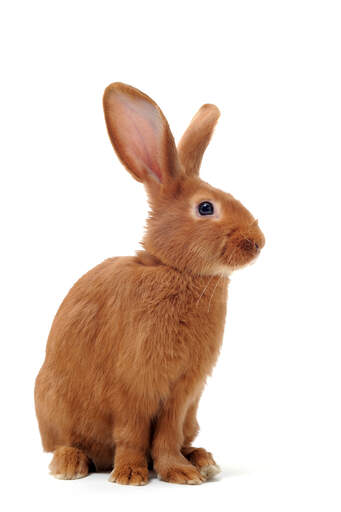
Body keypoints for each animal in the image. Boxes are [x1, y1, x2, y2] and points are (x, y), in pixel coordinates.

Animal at [34, 82, 264, 486]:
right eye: (206, 207)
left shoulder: (183, 392)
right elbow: (132, 432)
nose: (258, 242)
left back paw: (203, 460)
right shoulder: (132, 385)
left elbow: (166, 436)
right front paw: (129, 475)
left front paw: (180, 473)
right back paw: (70, 465)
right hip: (54, 405)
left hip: (192, 415)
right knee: (65, 443)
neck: (175, 270)